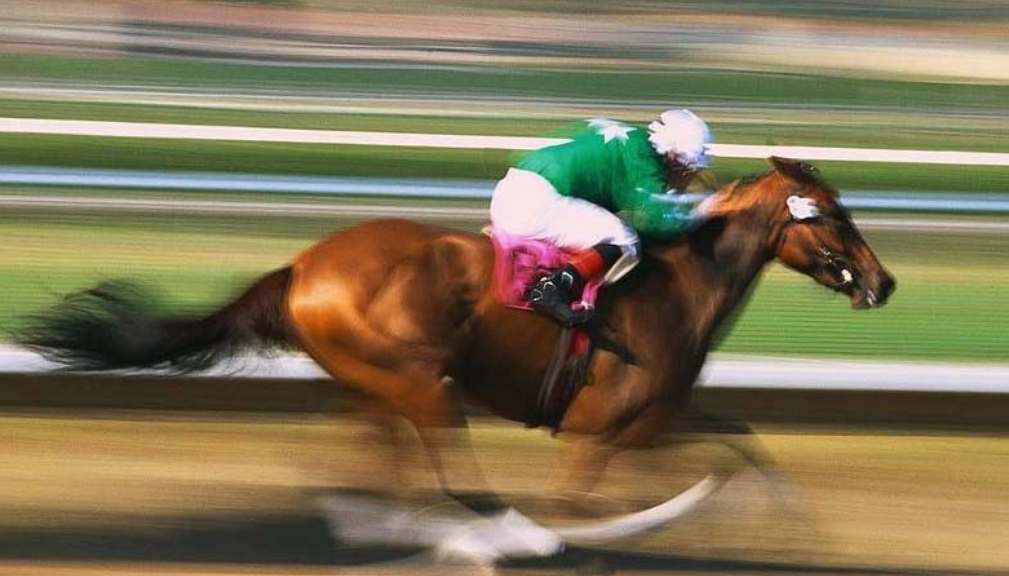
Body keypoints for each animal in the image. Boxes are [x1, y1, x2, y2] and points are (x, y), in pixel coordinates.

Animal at [19, 156, 895, 560]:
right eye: (834, 214)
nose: (882, 283)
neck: (678, 284)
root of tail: (302, 265)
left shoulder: (661, 414)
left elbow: (746, 447)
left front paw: (791, 528)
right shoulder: (607, 429)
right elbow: (593, 502)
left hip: (375, 383)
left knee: (357, 462)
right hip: (418, 381)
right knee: (448, 479)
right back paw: (487, 536)